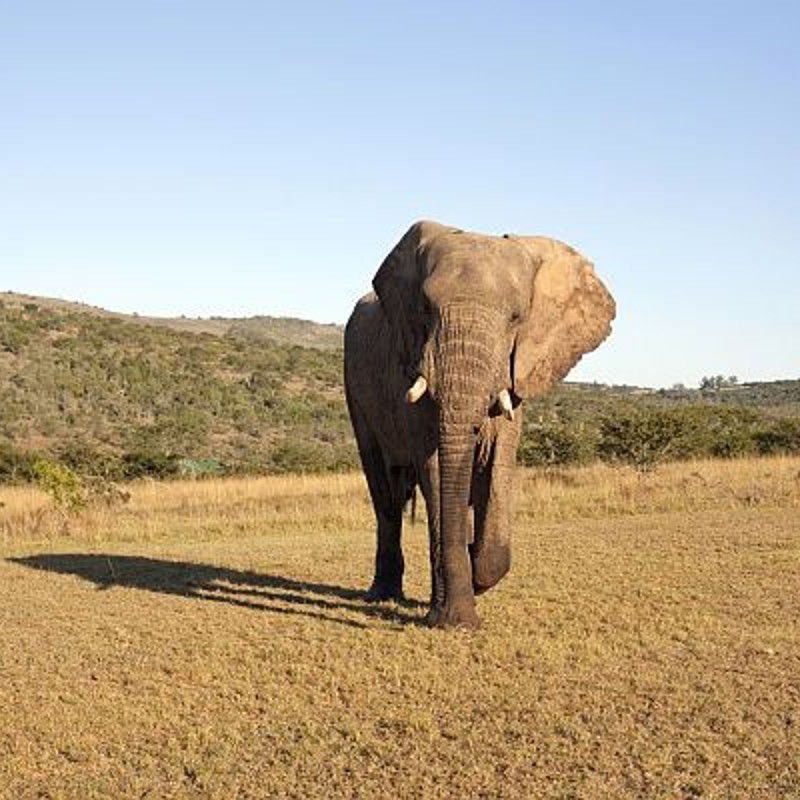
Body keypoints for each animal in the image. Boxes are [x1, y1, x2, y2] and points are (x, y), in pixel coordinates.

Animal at [344, 221, 615, 628]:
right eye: (425, 309)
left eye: (516, 318)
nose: (456, 620)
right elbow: (436, 469)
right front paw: (452, 617)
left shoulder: (517, 372)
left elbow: (498, 465)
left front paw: (475, 575)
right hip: (356, 391)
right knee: (385, 493)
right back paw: (385, 595)